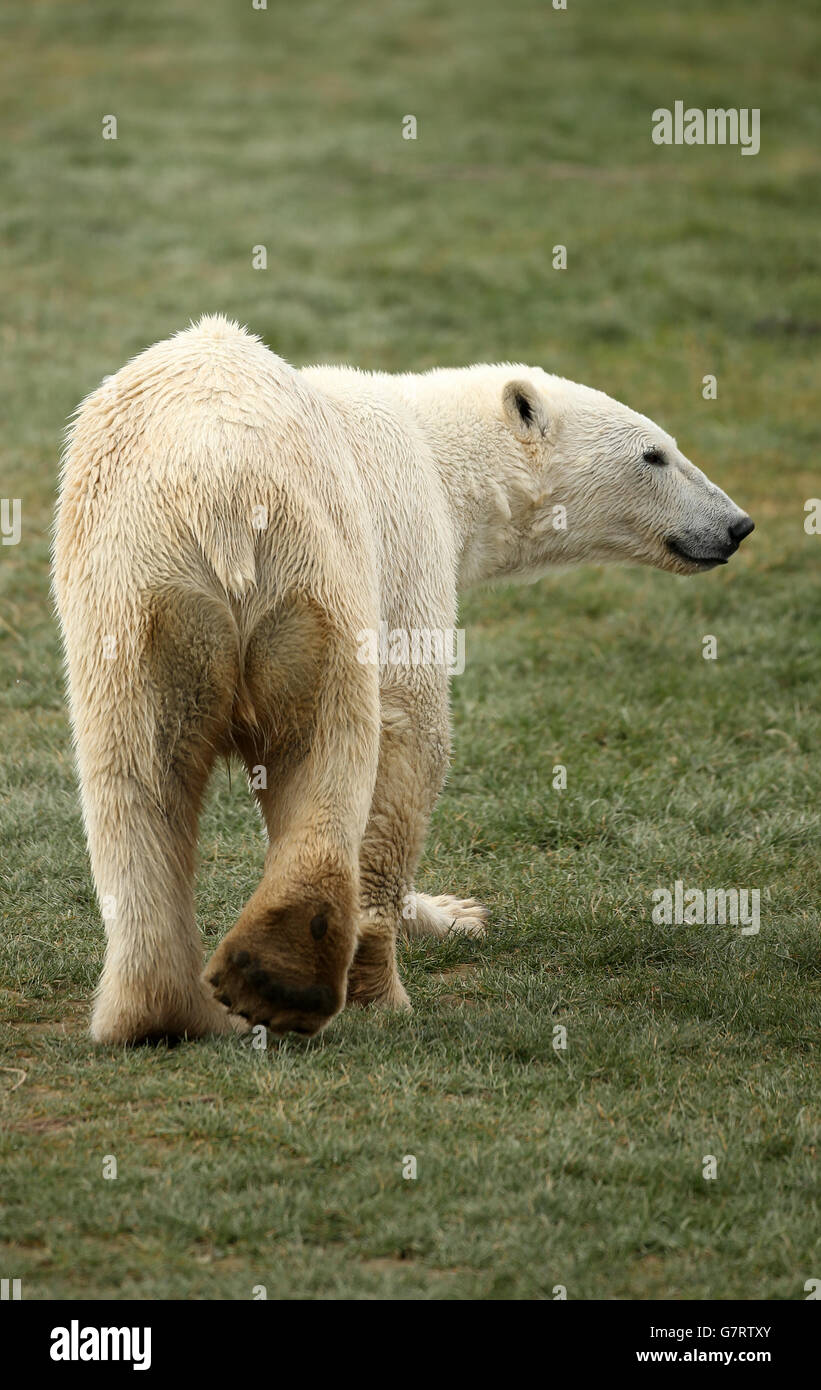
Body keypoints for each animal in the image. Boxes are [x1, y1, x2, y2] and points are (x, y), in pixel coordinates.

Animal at [52, 315, 754, 1044]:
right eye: (654, 455)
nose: (736, 525)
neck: (440, 451)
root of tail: (221, 488)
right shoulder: (408, 539)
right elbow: (408, 737)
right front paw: (434, 924)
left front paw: (454, 912)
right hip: (313, 571)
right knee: (335, 741)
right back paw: (305, 981)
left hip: (133, 599)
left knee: (134, 770)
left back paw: (161, 1010)